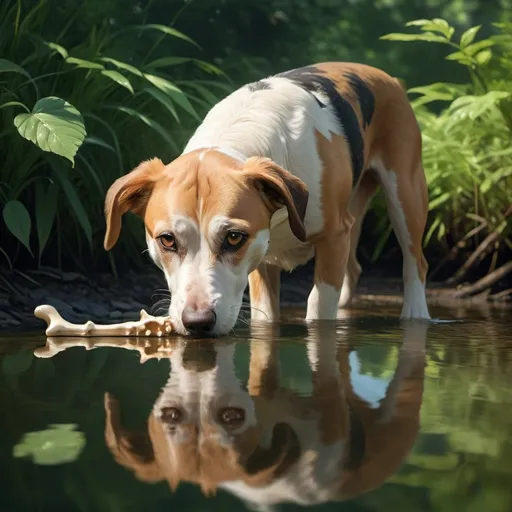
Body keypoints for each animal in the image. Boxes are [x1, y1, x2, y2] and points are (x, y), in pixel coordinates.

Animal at [104, 62, 432, 336]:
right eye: (167, 240)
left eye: (234, 237)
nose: (197, 322)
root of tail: (387, 77)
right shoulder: (261, 260)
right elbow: (266, 314)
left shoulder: (333, 238)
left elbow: (318, 305)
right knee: (354, 268)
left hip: (406, 194)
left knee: (415, 261)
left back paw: (415, 314)